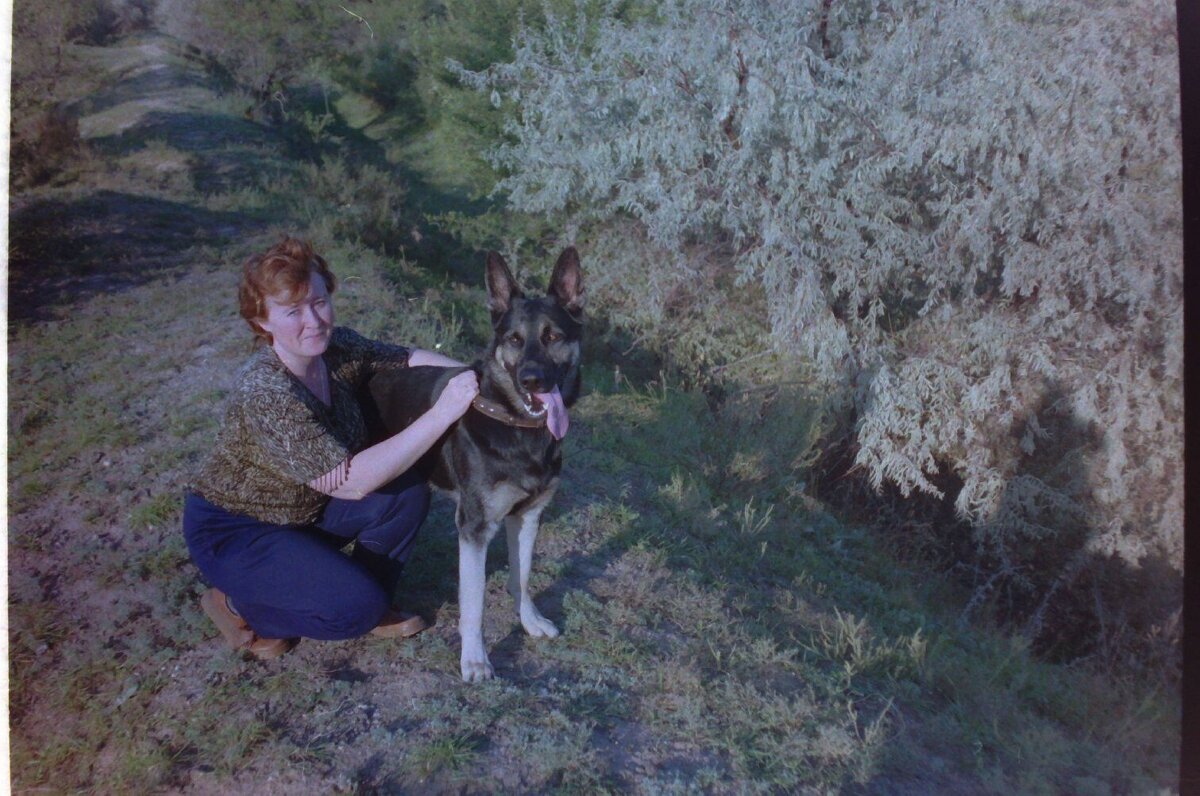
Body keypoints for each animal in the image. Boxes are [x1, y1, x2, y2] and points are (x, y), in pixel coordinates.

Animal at [362, 247, 583, 677]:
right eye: (514, 340)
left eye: (553, 337)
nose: (532, 380)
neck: (516, 425)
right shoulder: (475, 527)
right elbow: (474, 602)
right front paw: (475, 659)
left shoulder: (527, 516)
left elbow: (522, 578)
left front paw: (530, 621)